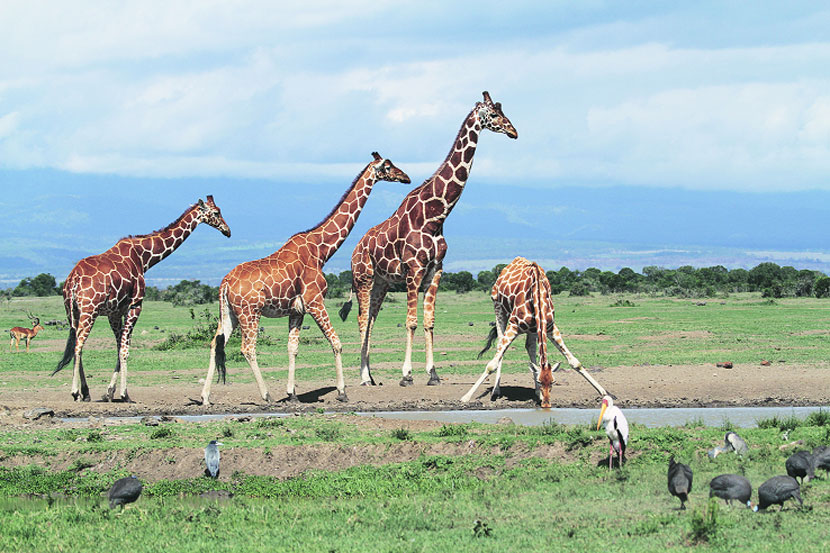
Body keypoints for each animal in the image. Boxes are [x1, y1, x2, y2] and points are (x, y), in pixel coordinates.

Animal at [54, 196, 231, 398]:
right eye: (216, 212)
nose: (228, 231)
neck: (144, 258)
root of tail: (73, 280)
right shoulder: (135, 305)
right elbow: (125, 349)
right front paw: (124, 393)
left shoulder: (115, 312)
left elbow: (119, 347)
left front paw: (110, 391)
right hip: (88, 311)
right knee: (79, 345)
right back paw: (76, 391)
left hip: (72, 313)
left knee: (77, 344)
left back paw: (85, 391)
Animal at [199, 152, 412, 406]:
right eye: (387, 166)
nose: (406, 177)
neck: (320, 251)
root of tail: (225, 283)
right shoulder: (315, 301)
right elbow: (336, 343)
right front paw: (342, 391)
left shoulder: (297, 310)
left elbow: (292, 348)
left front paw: (292, 393)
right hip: (250, 312)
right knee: (247, 348)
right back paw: (266, 394)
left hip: (229, 313)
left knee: (215, 343)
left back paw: (205, 397)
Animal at [342, 90, 516, 386]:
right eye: (493, 114)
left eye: (504, 112)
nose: (513, 131)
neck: (436, 217)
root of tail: (355, 249)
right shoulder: (414, 269)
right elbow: (411, 321)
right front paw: (406, 374)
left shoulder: (436, 271)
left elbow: (428, 321)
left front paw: (433, 373)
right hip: (363, 279)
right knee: (362, 320)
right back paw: (364, 377)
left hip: (381, 284)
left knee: (371, 321)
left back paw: (371, 375)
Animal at [462, 258, 612, 406]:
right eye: (540, 381)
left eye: (553, 381)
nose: (546, 404)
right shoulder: (514, 325)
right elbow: (491, 365)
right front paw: (466, 397)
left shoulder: (550, 327)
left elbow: (575, 362)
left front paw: (604, 392)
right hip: (499, 308)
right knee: (500, 346)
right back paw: (496, 391)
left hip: (533, 330)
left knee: (530, 347)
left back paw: (536, 392)